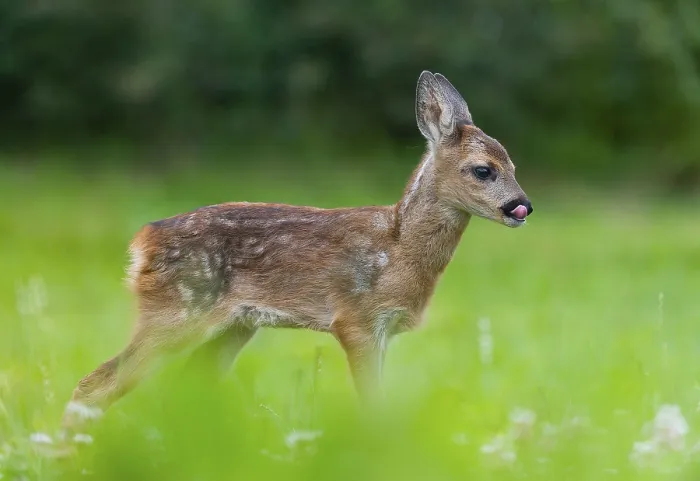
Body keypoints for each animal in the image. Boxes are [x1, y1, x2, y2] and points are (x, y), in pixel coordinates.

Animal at [61, 71, 533, 432]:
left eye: (513, 165)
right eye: (483, 170)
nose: (521, 206)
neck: (399, 249)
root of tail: (142, 242)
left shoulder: (381, 330)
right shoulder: (356, 320)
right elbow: (372, 407)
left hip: (232, 326)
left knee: (183, 390)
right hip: (177, 311)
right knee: (97, 383)